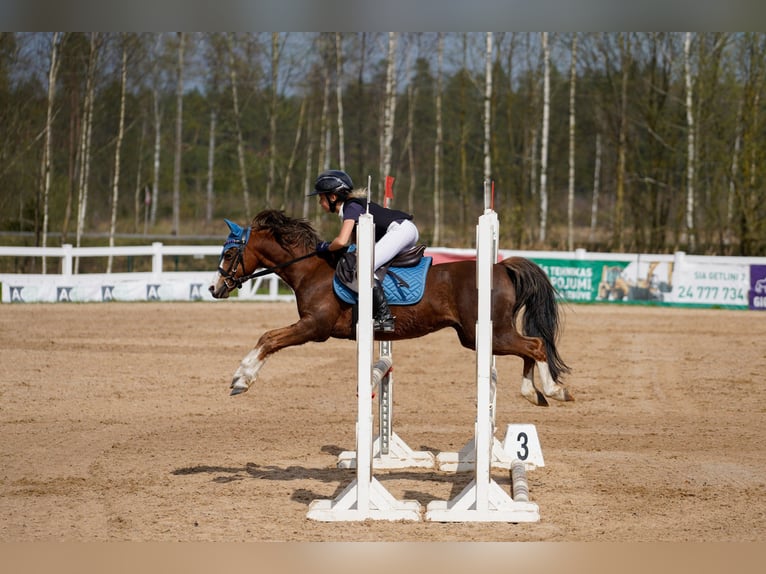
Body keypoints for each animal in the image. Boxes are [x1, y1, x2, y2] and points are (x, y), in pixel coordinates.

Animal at [209, 209, 573, 407]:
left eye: (229, 254)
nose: (214, 288)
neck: (311, 269)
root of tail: (501, 267)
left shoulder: (315, 327)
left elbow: (269, 338)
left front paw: (241, 378)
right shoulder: (312, 326)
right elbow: (268, 338)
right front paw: (241, 377)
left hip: (487, 333)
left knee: (535, 346)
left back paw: (554, 390)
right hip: (482, 336)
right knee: (530, 348)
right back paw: (533, 393)